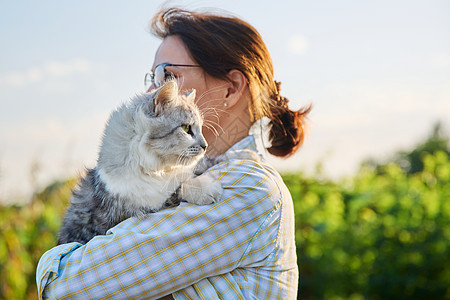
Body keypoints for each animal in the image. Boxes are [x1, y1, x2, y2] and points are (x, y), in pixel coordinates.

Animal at [56, 81, 225, 245]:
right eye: (186, 128)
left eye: (200, 129)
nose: (205, 146)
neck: (159, 169)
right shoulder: (138, 208)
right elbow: (177, 189)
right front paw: (207, 188)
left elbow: (204, 164)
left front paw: (229, 156)